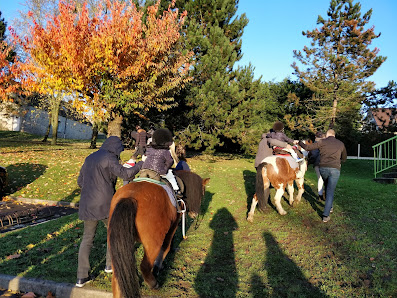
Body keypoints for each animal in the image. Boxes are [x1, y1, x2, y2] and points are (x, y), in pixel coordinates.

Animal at [106, 170, 209, 298]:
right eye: (202, 193)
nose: (195, 214)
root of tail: (130, 197)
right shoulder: (173, 224)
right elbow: (166, 246)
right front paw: (159, 265)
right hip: (153, 244)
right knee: (144, 266)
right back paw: (153, 283)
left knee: (117, 278)